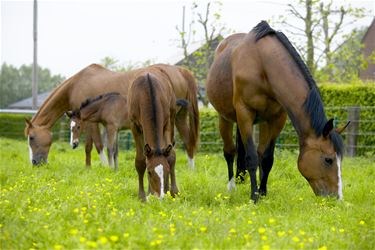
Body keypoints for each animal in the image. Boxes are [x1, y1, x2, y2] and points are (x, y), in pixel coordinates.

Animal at [25, 63, 200, 167]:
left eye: (31, 137)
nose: (34, 162)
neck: (76, 85)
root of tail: (181, 71)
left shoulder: (90, 122)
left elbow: (97, 145)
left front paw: (104, 166)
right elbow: (92, 146)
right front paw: (89, 167)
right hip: (179, 117)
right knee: (187, 141)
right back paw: (189, 170)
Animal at [128, 71, 178, 200]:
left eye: (166, 170)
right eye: (149, 172)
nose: (160, 197)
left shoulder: (167, 123)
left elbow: (170, 156)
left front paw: (171, 191)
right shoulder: (134, 126)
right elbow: (141, 161)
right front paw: (142, 196)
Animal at [206, 20, 350, 202]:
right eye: (328, 160)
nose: (337, 197)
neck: (262, 64)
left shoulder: (277, 118)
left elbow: (267, 158)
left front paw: (263, 193)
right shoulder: (245, 113)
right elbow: (251, 157)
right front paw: (254, 197)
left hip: (261, 121)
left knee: (255, 152)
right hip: (225, 118)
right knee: (230, 152)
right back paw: (232, 187)